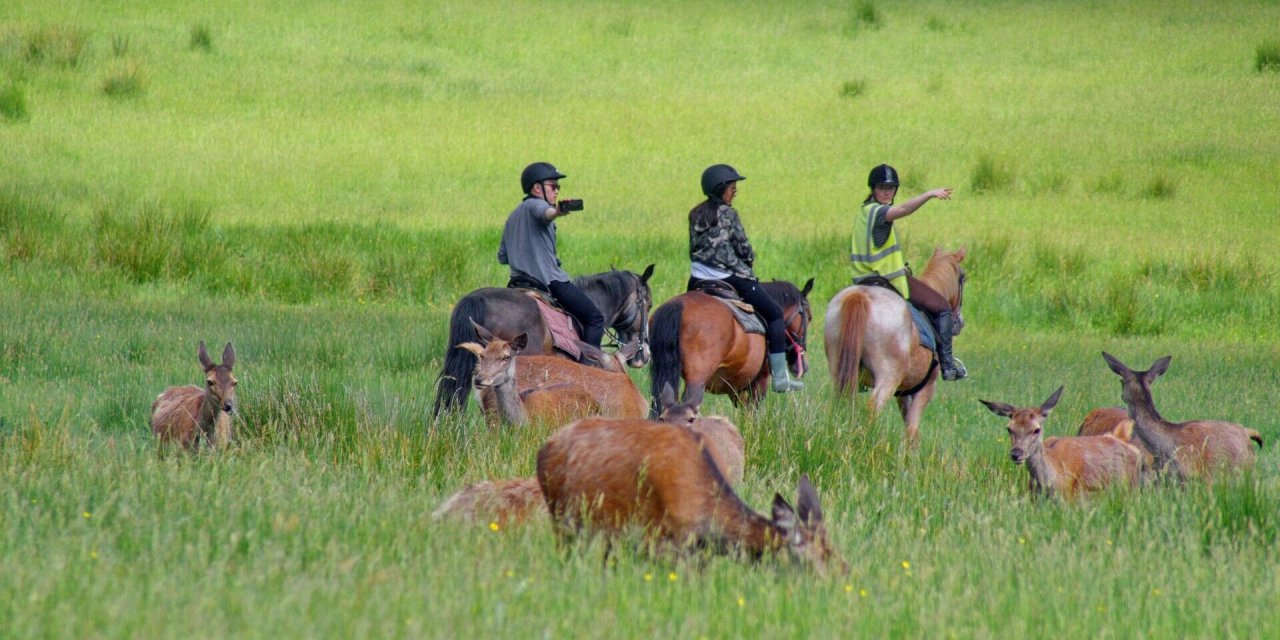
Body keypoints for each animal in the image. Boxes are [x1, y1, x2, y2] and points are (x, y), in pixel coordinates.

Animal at [648, 278, 814, 416]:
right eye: (809, 317)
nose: (803, 366)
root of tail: (679, 305)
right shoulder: (760, 380)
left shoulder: (737, 387)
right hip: (696, 380)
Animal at [824, 247, 967, 443]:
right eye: (964, 278)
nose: (960, 322)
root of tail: (862, 295)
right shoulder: (925, 389)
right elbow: (912, 431)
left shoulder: (903, 393)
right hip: (888, 377)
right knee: (872, 408)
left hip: (840, 370)